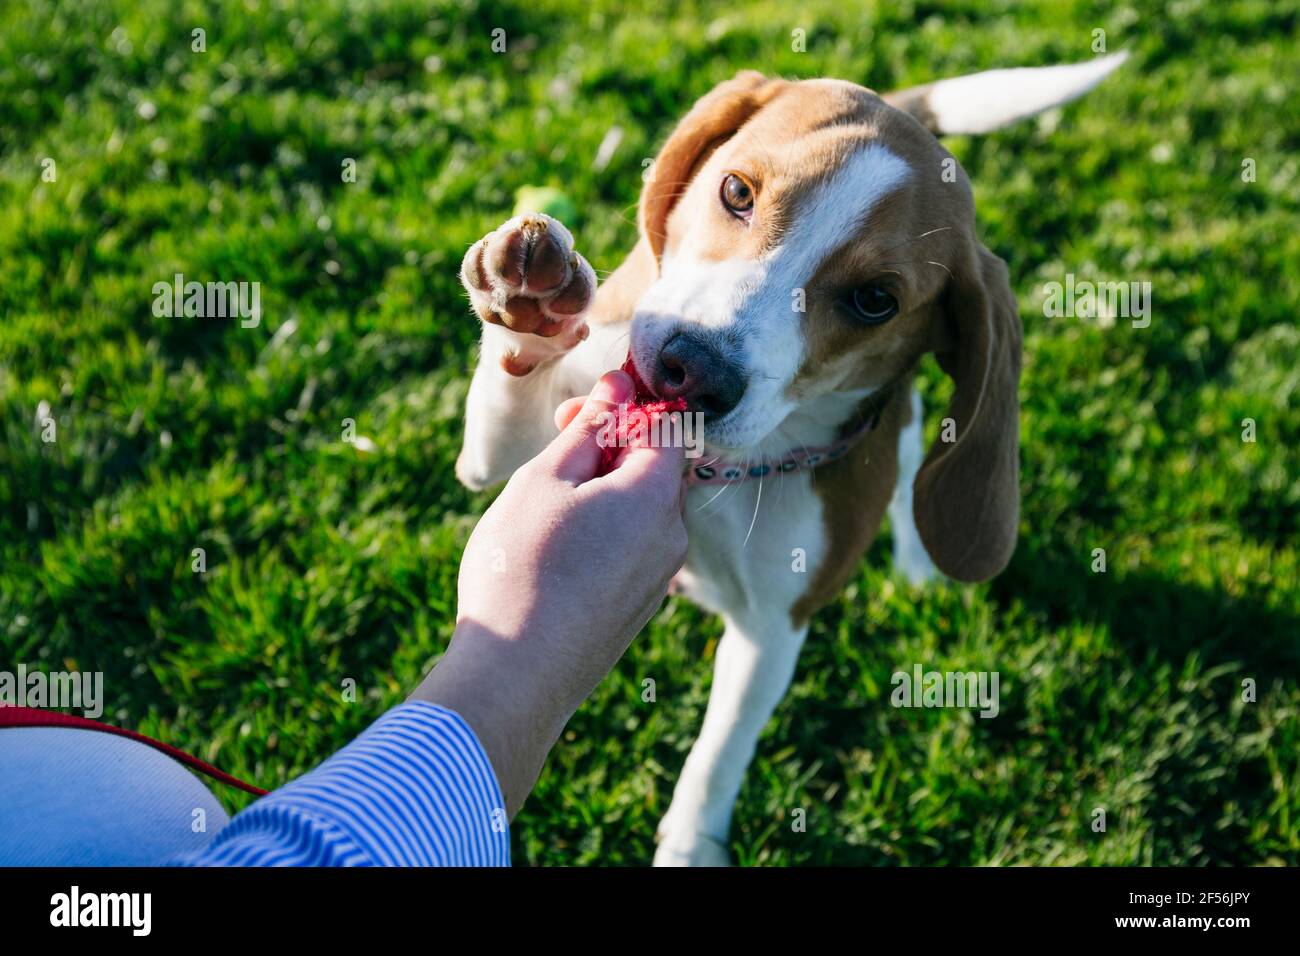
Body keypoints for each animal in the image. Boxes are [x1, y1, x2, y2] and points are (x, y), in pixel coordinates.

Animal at [457, 54, 1128, 868]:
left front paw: (691, 844)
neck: (721, 468)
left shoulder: (775, 629)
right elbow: (505, 410)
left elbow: (721, 751)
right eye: (736, 193)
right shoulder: (508, 447)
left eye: (874, 301)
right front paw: (530, 304)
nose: (692, 369)